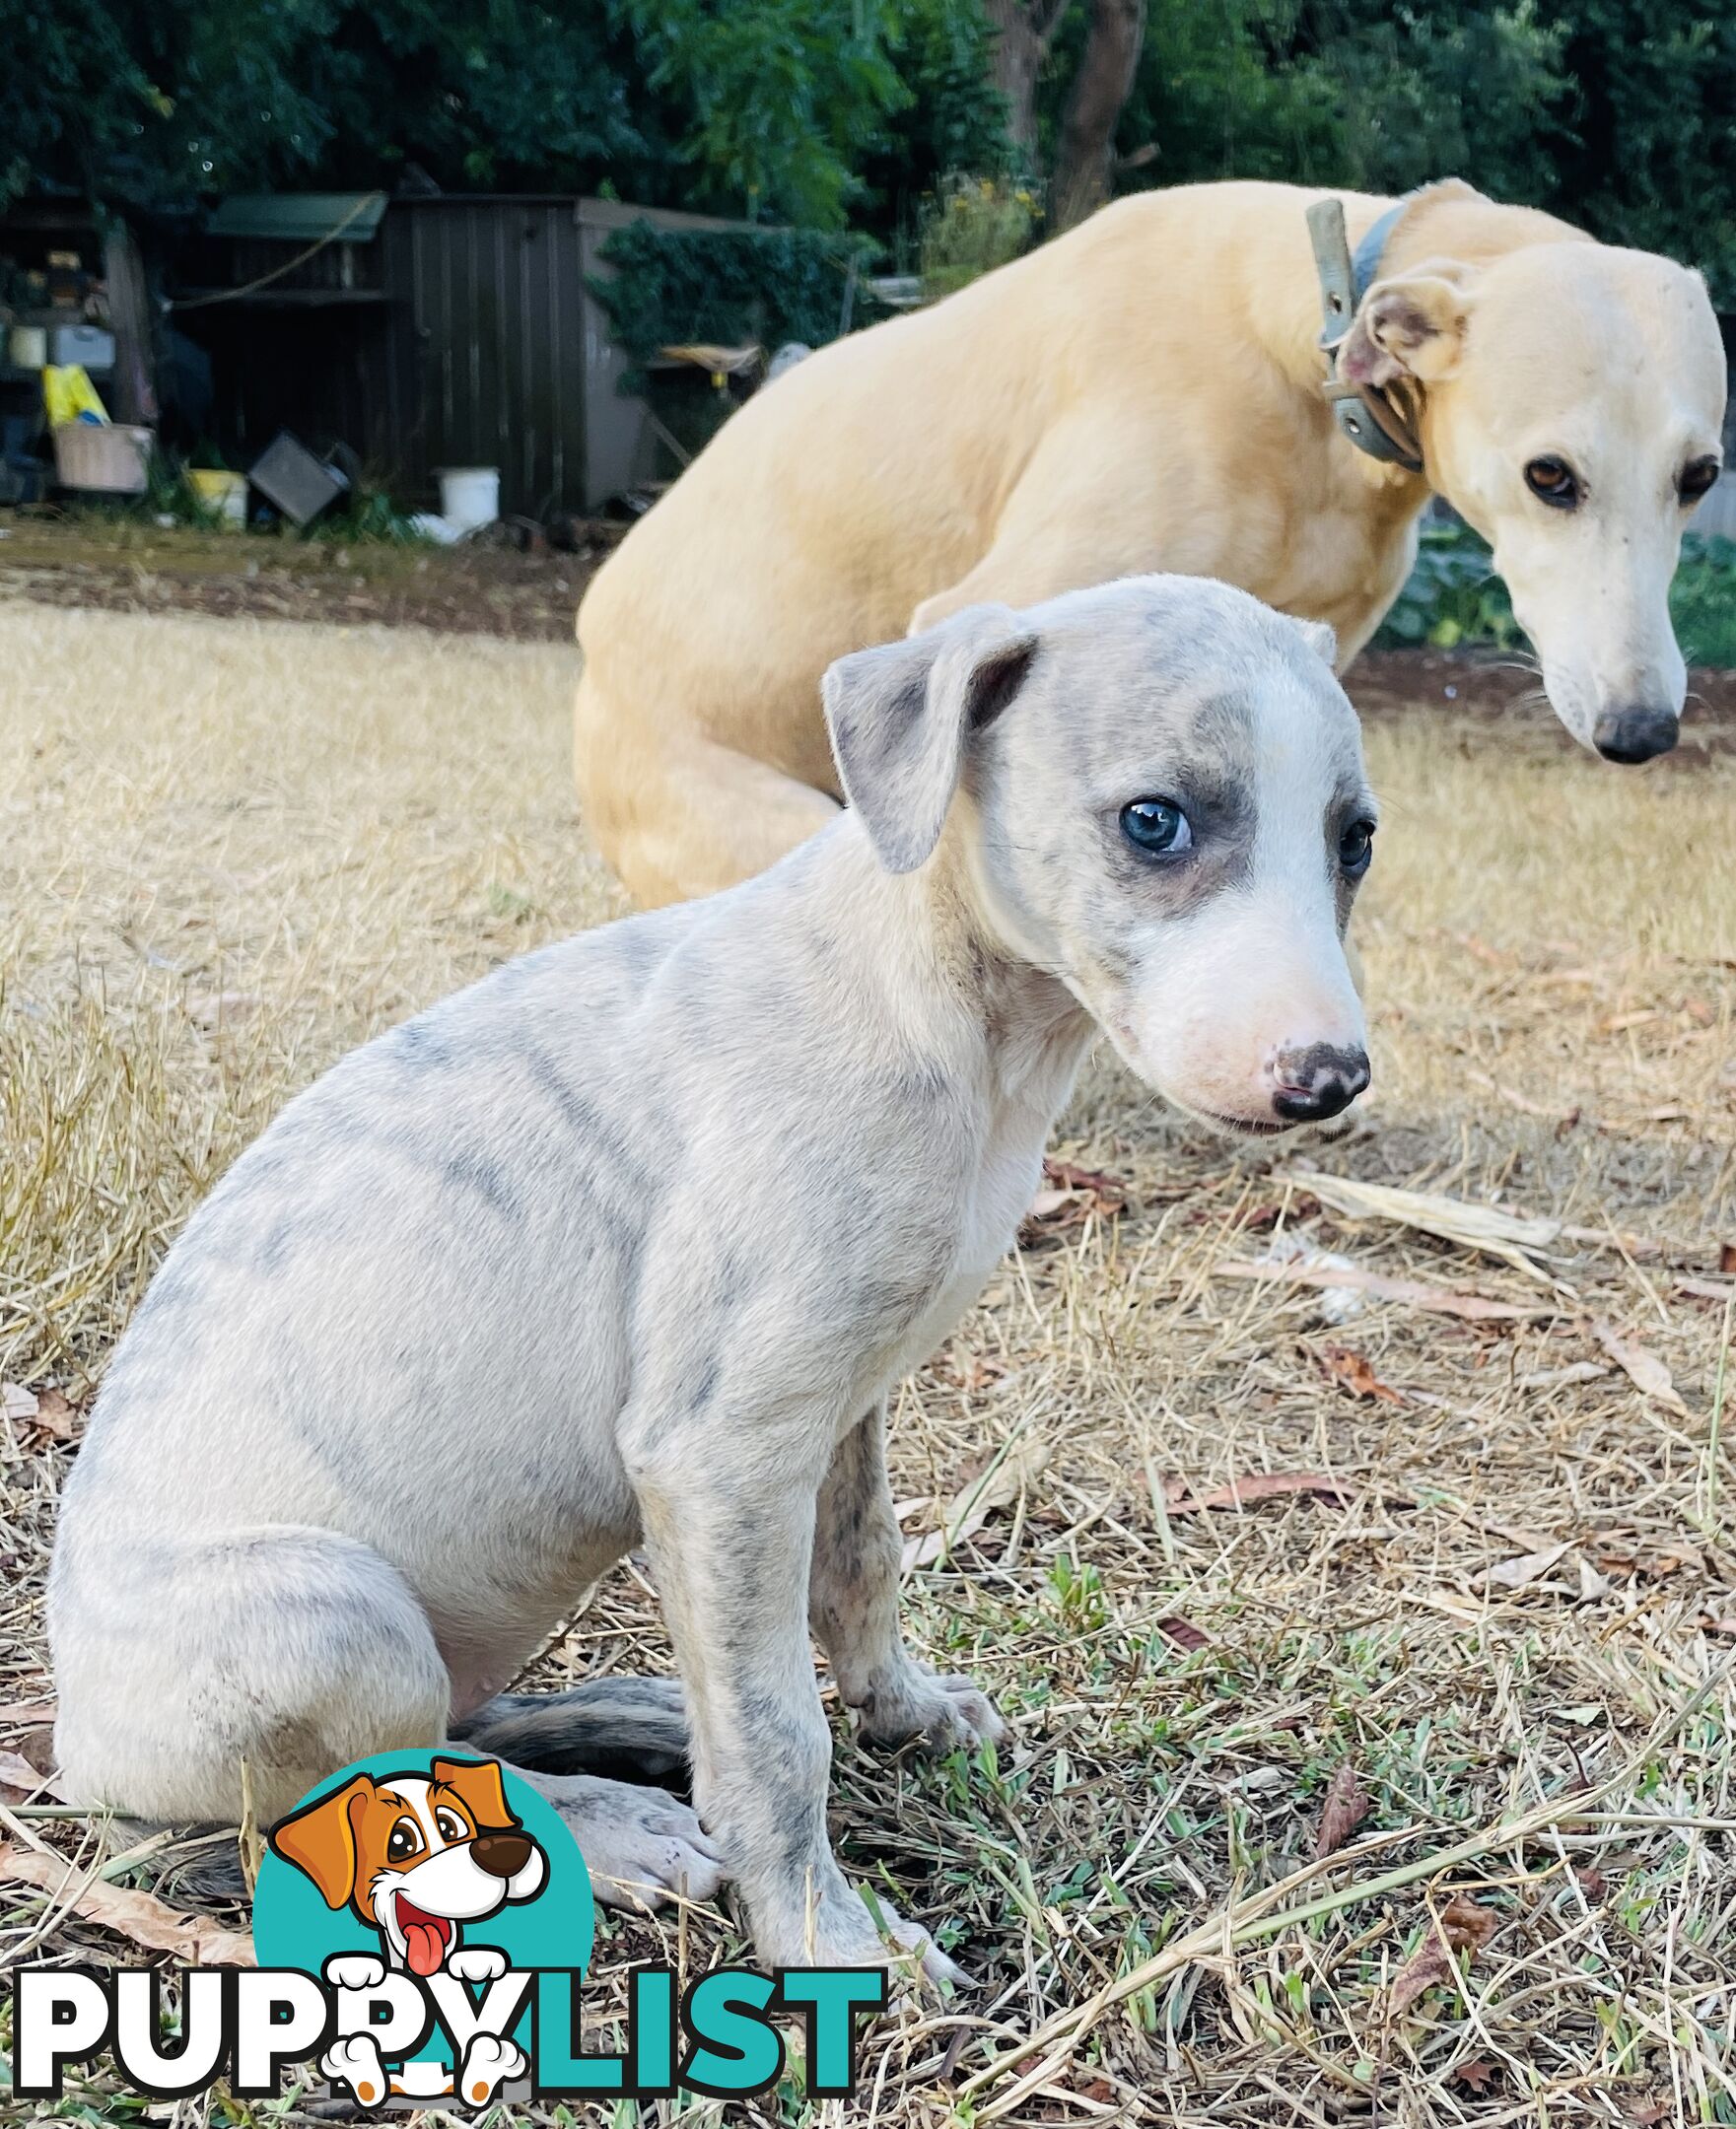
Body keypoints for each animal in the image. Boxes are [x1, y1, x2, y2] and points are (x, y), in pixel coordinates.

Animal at [54, 570, 1380, 1975]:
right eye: (1154, 821)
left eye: (1355, 840)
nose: (1329, 1080)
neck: (944, 1016)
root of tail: (71, 1751)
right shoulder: (720, 1452)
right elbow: (772, 1726)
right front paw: (823, 1932)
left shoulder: (843, 1398)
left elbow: (861, 1565)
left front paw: (904, 1711)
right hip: (339, 1616)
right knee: (355, 1801)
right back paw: (611, 1829)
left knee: (466, 1732)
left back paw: (628, 1720)